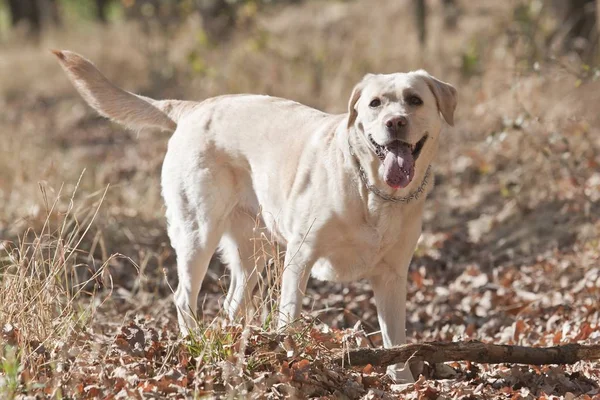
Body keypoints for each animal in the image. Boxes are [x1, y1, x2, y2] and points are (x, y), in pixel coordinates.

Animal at [54, 50, 458, 382]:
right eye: (375, 104)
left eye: (414, 100)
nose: (395, 122)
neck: (372, 192)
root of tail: (194, 107)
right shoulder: (300, 258)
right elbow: (289, 319)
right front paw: (292, 362)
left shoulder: (392, 276)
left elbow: (395, 340)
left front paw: (402, 381)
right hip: (198, 233)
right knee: (184, 299)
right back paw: (195, 344)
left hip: (254, 249)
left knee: (231, 304)